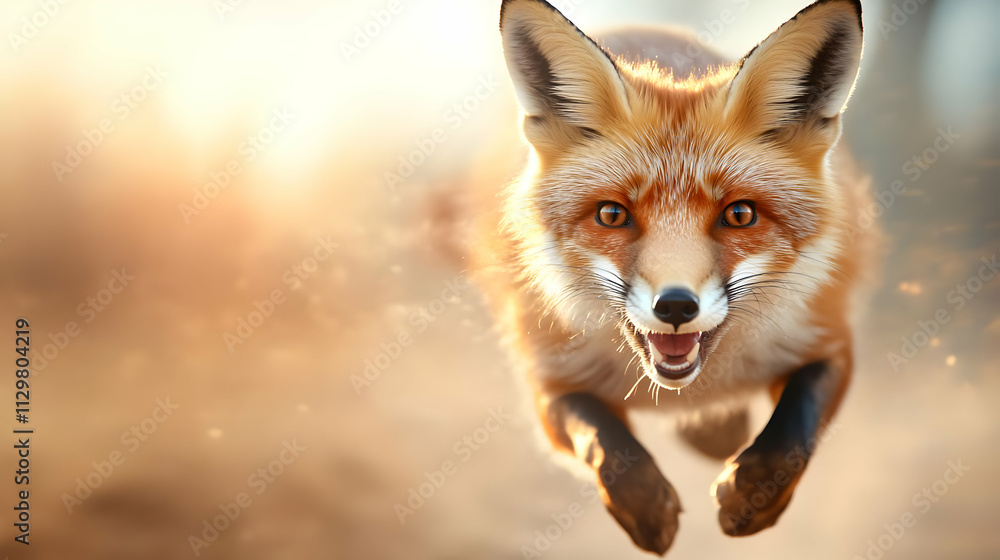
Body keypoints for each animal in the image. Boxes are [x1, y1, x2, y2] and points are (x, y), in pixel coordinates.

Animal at [467, 0, 876, 555]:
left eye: (739, 215)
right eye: (612, 215)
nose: (676, 307)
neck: (692, 389)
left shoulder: (827, 340)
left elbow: (794, 427)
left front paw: (754, 493)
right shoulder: (550, 380)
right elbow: (602, 440)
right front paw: (643, 506)